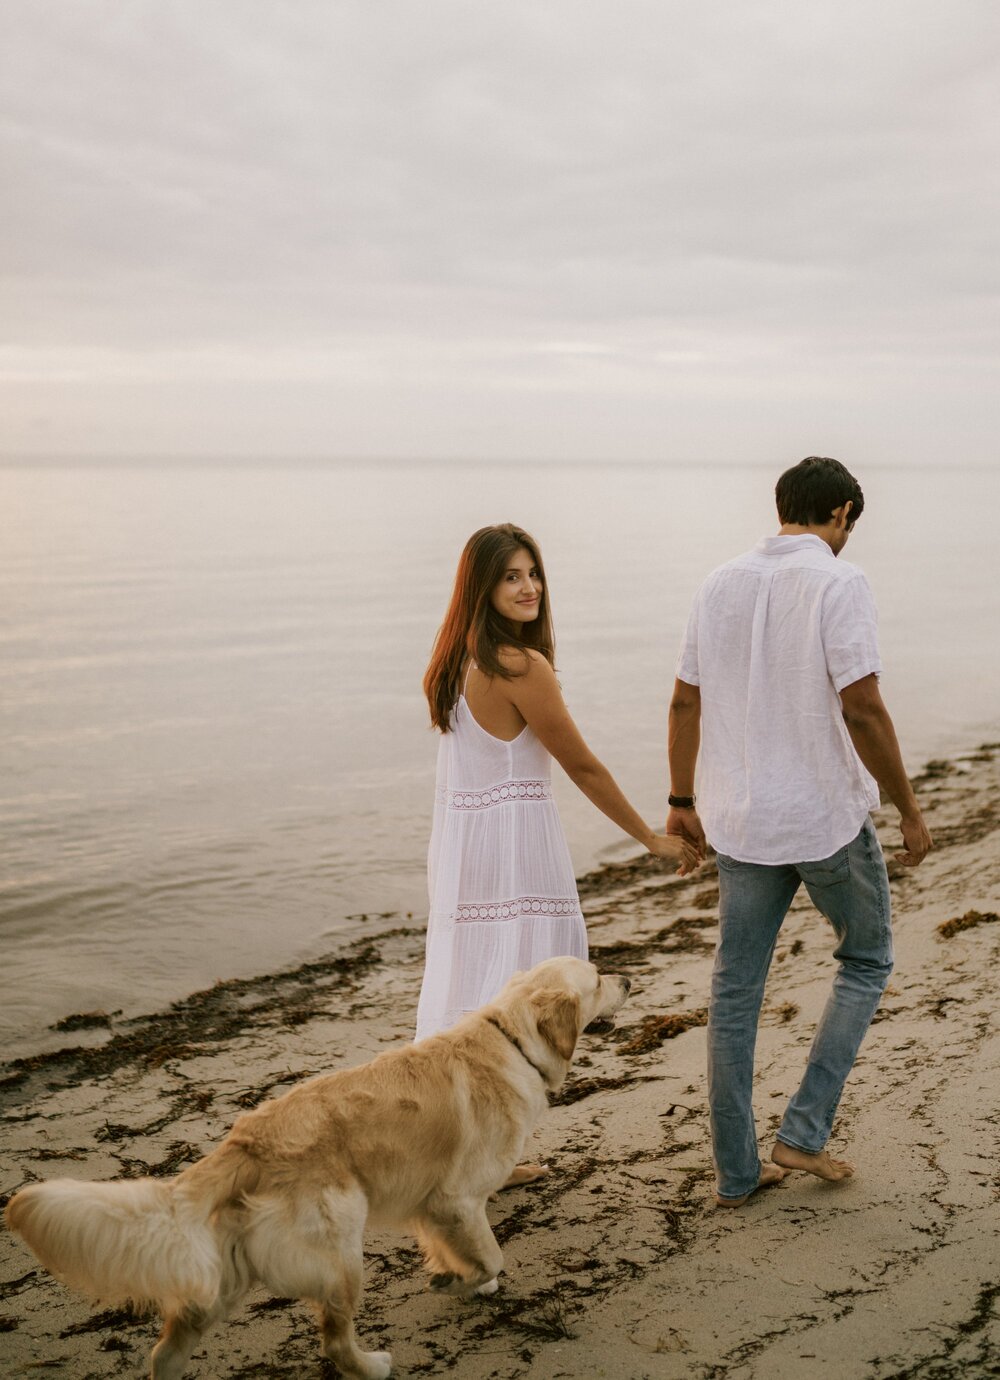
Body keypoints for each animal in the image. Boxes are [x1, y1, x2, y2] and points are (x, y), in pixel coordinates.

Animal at [7, 960, 628, 1380]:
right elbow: (491, 1255)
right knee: (333, 1341)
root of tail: (244, 1142)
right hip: (340, 1250)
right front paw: (459, 1281)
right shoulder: (457, 1198)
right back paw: (373, 1364)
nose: (628, 979)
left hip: (225, 1281)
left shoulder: (434, 1207)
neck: (513, 1041)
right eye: (597, 978)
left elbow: (467, 1254)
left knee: (166, 1351)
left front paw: (461, 1278)